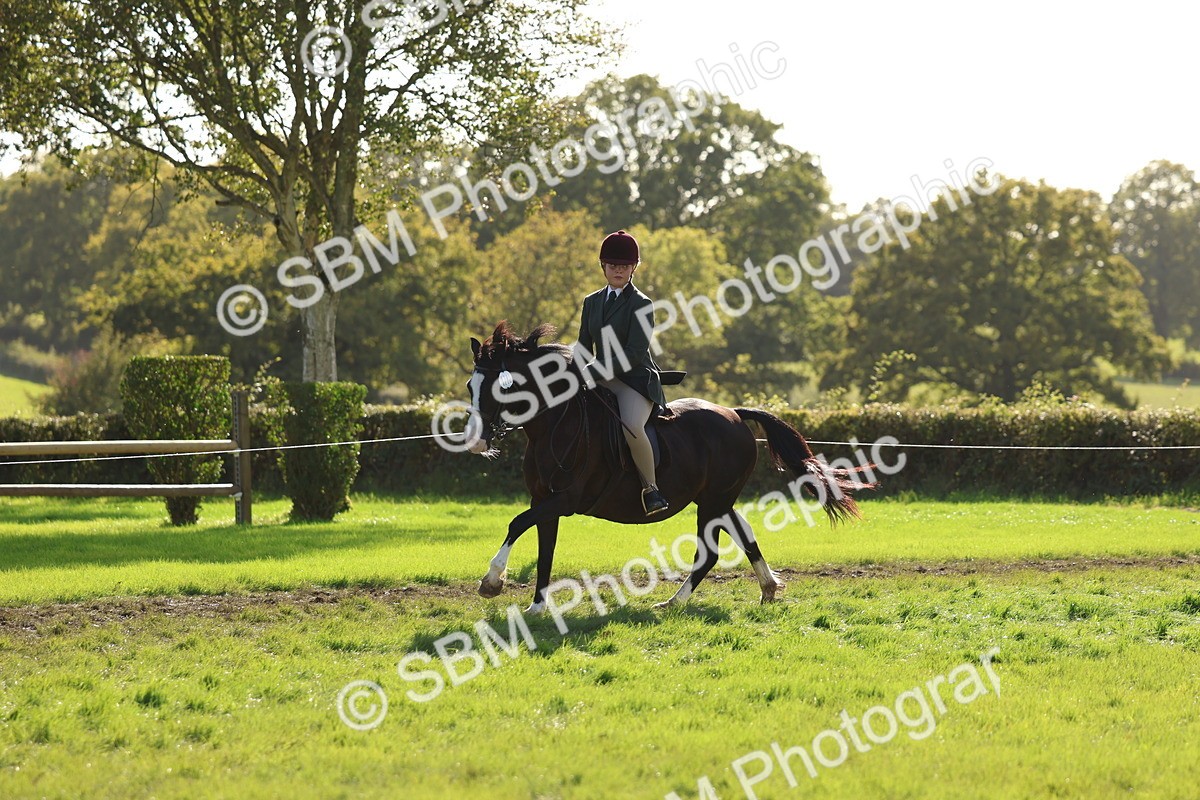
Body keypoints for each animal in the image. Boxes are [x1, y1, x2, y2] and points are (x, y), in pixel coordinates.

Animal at [464, 321, 876, 613]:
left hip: (713, 501)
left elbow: (516, 523)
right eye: (471, 385)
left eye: (501, 387)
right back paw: (768, 588)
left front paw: (491, 583)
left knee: (709, 553)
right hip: (716, 499)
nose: (477, 441)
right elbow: (543, 549)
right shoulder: (544, 501)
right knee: (744, 534)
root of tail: (734, 413)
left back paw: (674, 602)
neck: (556, 425)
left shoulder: (565, 500)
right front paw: (535, 607)